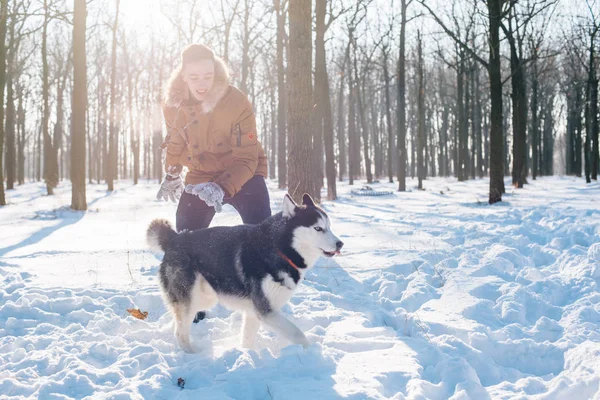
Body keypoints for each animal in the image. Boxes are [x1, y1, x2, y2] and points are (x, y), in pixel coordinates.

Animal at [146, 194, 342, 354]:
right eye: (318, 228)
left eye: (329, 226)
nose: (340, 244)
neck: (279, 248)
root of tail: (174, 238)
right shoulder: (266, 311)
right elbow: (297, 333)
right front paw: (311, 353)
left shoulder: (254, 311)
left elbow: (247, 338)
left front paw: (246, 355)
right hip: (190, 297)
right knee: (180, 331)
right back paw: (192, 355)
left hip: (205, 297)